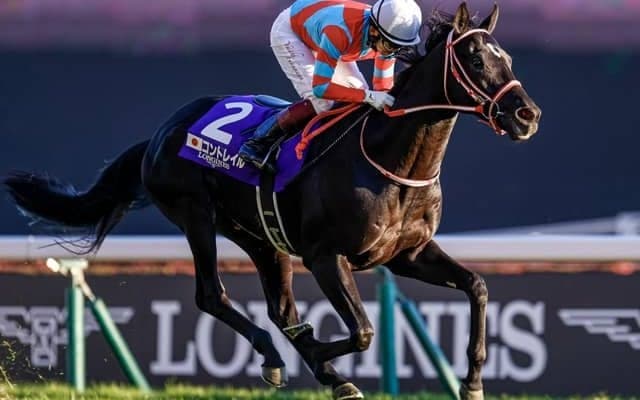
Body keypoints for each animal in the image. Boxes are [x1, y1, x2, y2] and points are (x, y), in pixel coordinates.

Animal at [4, 3, 540, 400]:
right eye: (476, 61)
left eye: (509, 59)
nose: (527, 114)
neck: (393, 161)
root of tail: (160, 133)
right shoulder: (327, 257)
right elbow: (363, 331)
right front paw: (321, 354)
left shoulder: (407, 254)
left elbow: (477, 287)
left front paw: (472, 382)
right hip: (195, 215)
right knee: (212, 295)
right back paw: (285, 358)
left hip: (263, 238)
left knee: (281, 309)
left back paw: (317, 370)